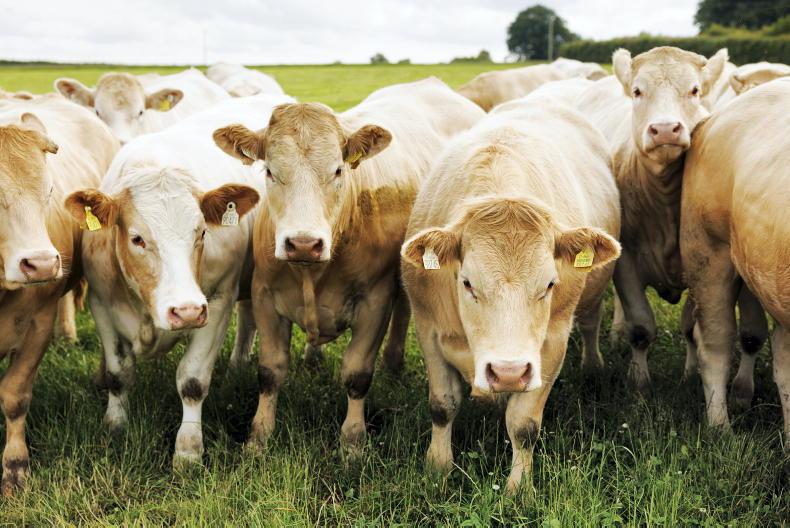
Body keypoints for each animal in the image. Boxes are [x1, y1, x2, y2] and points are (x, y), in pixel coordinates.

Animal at [63, 94, 291, 469]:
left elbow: (193, 381)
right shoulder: (100, 302)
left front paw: (188, 450)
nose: (185, 311)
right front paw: (115, 426)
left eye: (201, 233)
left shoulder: (216, 301)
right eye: (137, 238)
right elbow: (118, 373)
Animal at [212, 77, 484, 453]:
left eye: (338, 170)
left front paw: (352, 441)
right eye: (269, 171)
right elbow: (270, 371)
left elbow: (357, 374)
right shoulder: (264, 295)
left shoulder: (375, 301)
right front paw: (259, 437)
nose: (303, 243)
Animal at [401, 97, 620, 493]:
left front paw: (519, 488)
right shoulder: (427, 326)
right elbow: (442, 405)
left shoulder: (551, 344)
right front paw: (437, 468)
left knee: (591, 322)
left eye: (549, 284)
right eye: (468, 283)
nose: (508, 372)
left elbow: (524, 424)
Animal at [575, 46, 768, 393]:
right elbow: (640, 326)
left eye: (694, 90)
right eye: (637, 91)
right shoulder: (626, 260)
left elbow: (693, 327)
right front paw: (639, 381)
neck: (664, 204)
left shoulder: (699, 262)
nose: (665, 129)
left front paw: (692, 373)